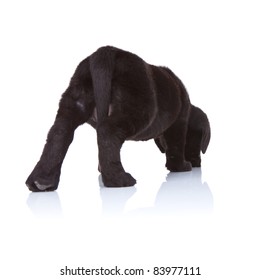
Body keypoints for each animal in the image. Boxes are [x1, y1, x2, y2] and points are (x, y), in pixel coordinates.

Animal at [25, 46, 210, 191]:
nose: (197, 162)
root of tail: (106, 52)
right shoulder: (179, 123)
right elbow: (176, 145)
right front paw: (180, 166)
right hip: (137, 111)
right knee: (108, 133)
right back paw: (118, 179)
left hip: (76, 99)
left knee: (59, 133)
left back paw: (42, 181)